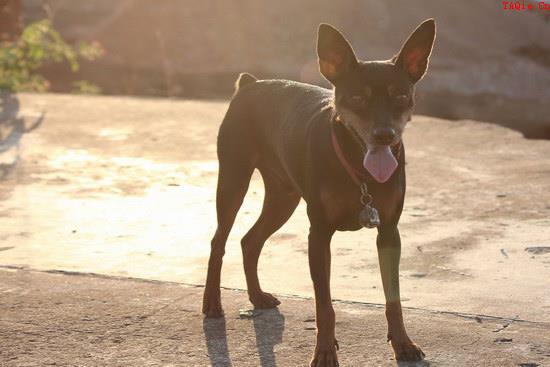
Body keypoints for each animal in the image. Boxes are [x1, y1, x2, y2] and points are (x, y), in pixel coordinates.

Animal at [205, 18, 438, 366]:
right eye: (357, 98)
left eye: (400, 96)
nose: (384, 135)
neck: (358, 169)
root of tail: (249, 84)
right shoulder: (319, 234)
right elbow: (324, 305)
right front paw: (325, 352)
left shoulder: (389, 232)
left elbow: (393, 299)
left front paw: (402, 344)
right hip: (234, 179)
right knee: (219, 240)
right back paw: (212, 303)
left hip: (283, 197)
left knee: (250, 240)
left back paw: (257, 296)